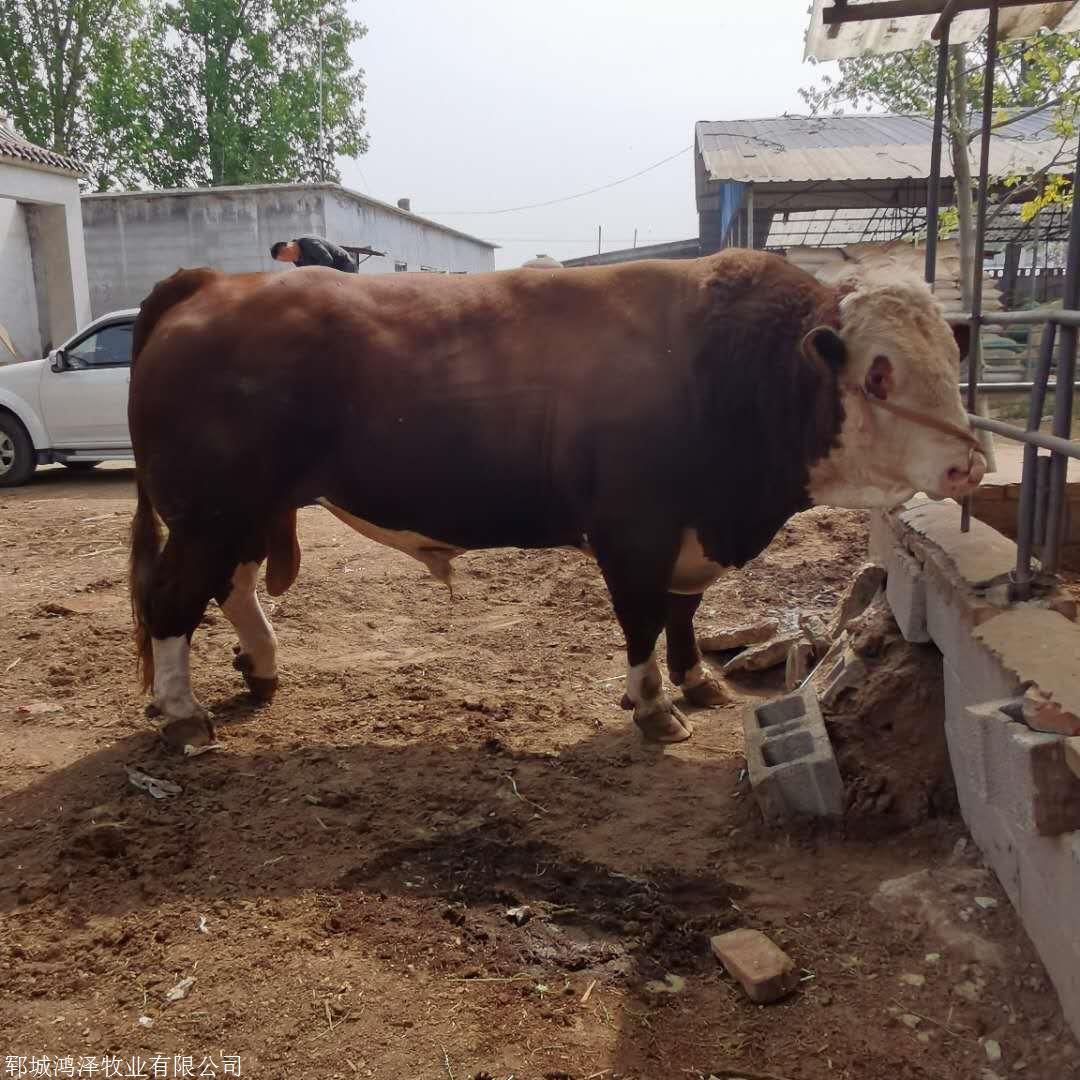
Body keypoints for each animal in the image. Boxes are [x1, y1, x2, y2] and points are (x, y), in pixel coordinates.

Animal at [130, 251, 984, 751]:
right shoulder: (634, 530)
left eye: (949, 357)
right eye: (880, 372)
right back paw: (184, 713)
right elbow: (642, 617)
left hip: (241, 511)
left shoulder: (692, 532)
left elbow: (685, 611)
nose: (967, 464)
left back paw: (262, 668)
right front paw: (652, 704)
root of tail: (214, 282)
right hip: (209, 511)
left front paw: (697, 681)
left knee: (230, 588)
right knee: (173, 600)